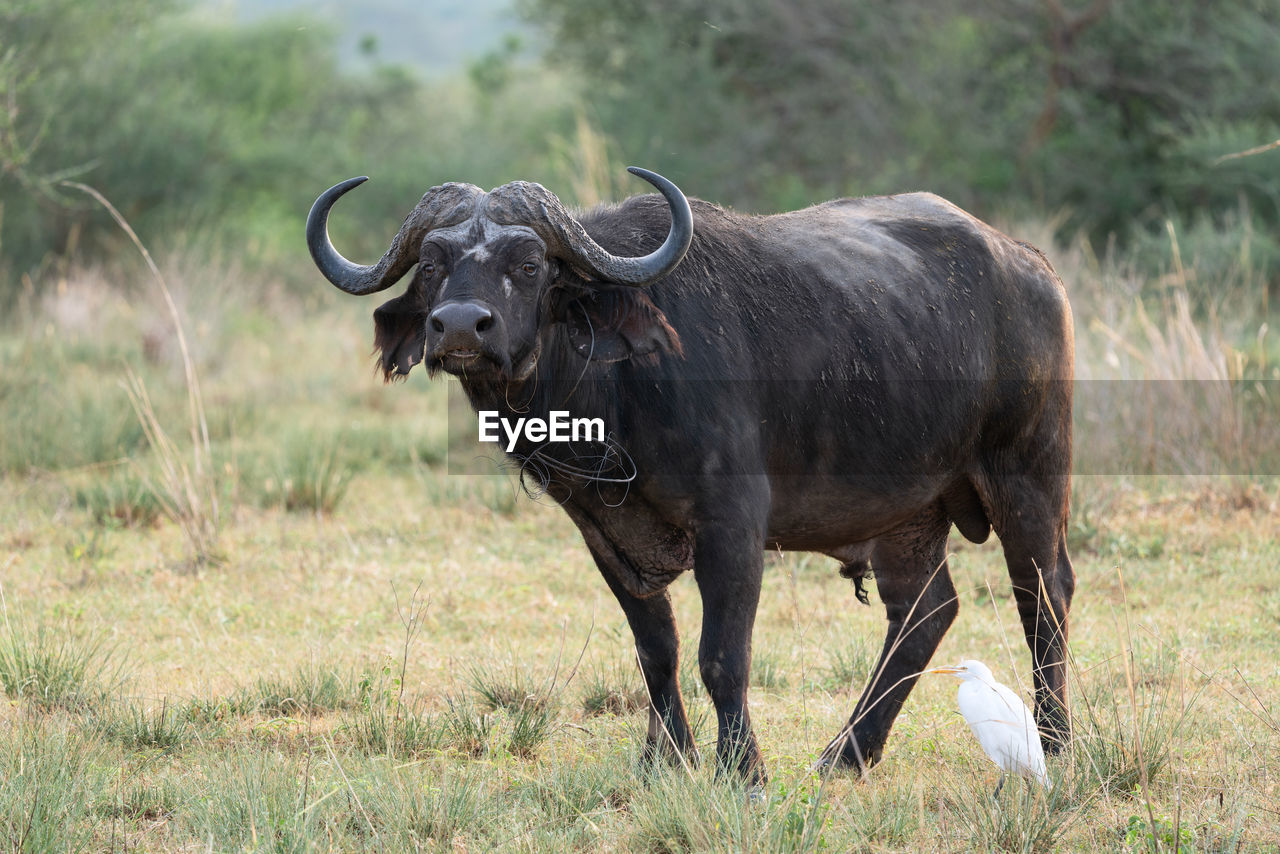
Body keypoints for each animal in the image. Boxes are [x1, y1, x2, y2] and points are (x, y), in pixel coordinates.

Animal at [307, 163, 1070, 783]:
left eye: (528, 263)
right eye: (434, 264)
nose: (462, 327)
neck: (617, 386)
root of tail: (1030, 266)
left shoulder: (732, 529)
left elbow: (721, 655)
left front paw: (743, 771)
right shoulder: (606, 532)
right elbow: (658, 650)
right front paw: (665, 760)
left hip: (1028, 475)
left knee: (1043, 594)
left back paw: (1056, 744)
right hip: (909, 517)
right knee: (924, 611)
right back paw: (846, 754)